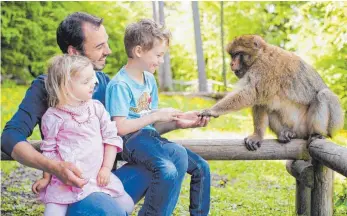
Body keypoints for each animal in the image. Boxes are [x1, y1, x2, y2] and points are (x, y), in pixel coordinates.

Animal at [200, 34, 344, 151]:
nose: (231, 64)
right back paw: (287, 133)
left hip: (323, 126)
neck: (260, 55)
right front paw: (257, 135)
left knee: (325, 95)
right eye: (232, 55)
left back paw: (317, 133)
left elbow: (252, 93)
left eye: (237, 54)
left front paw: (213, 111)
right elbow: (260, 102)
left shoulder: (265, 68)